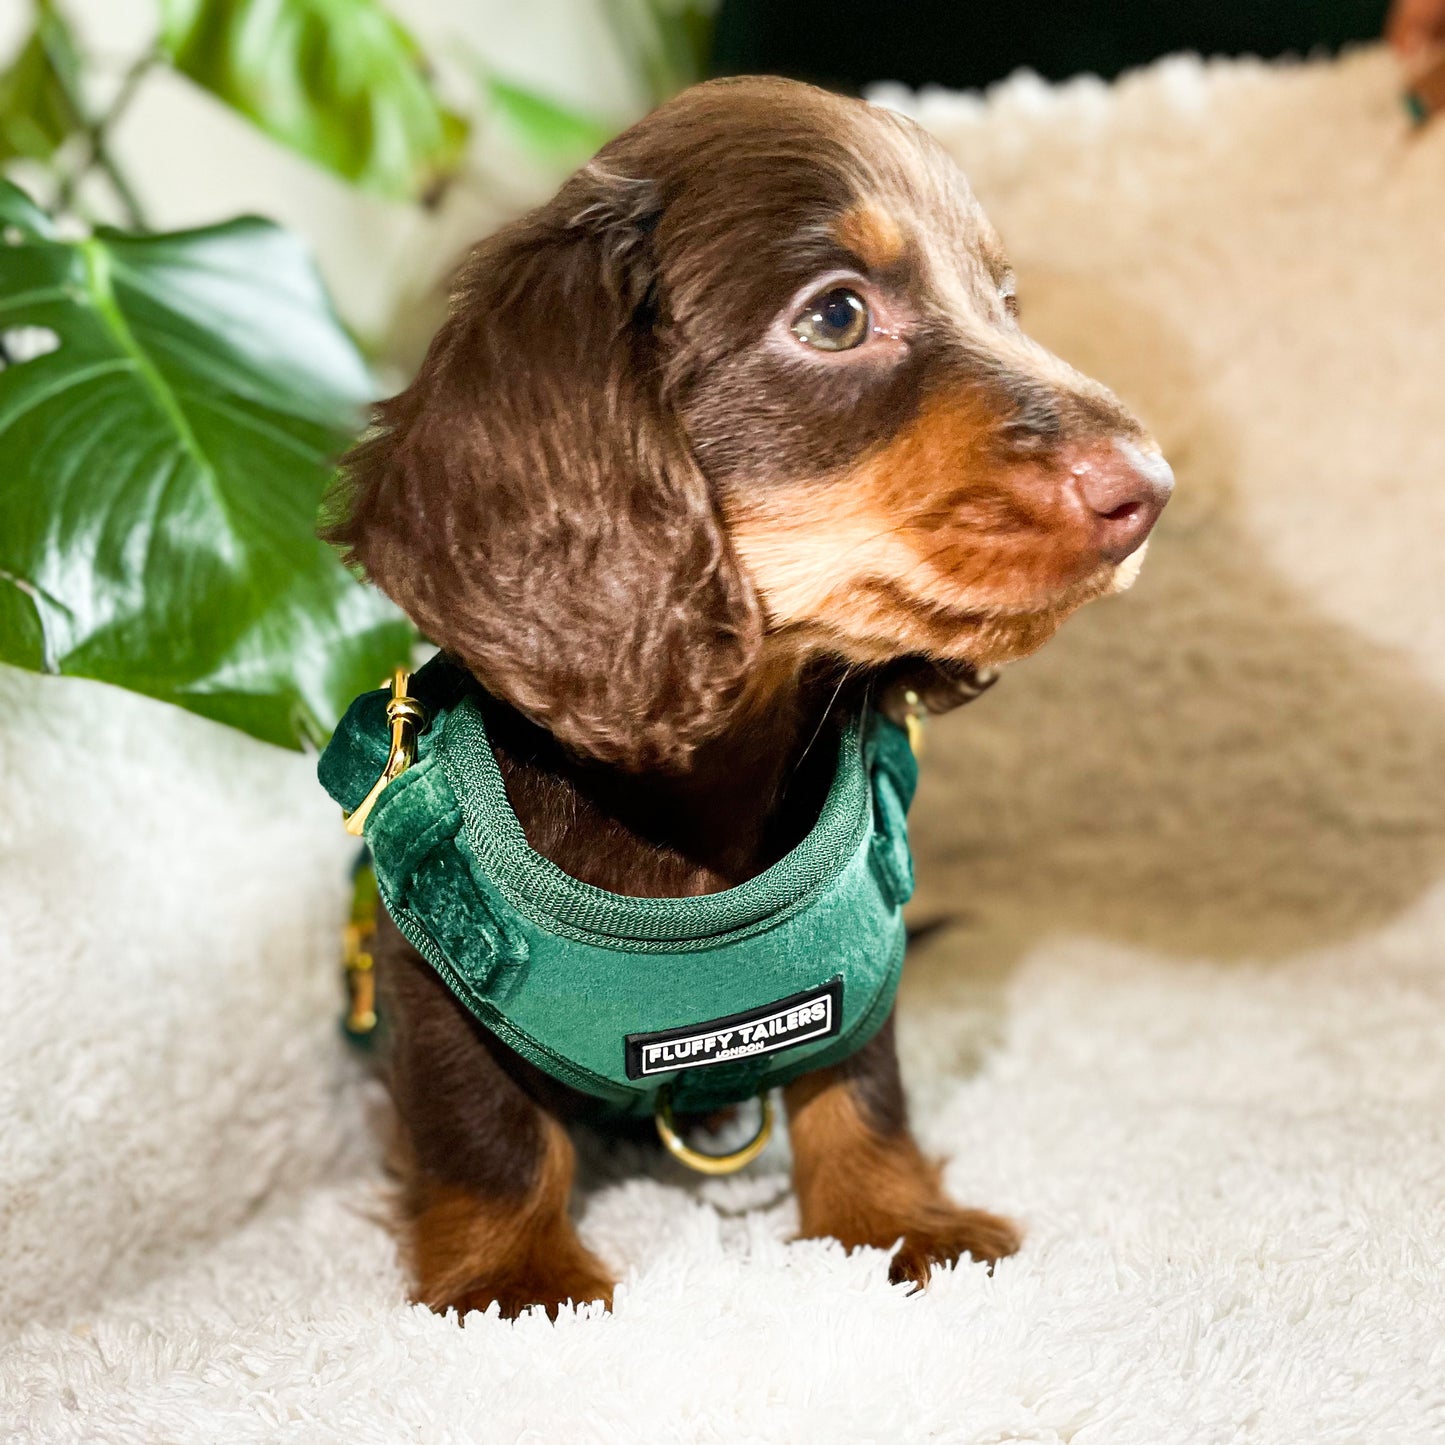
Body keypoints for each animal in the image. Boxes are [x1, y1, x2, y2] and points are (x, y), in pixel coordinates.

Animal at [322, 79, 1167, 1323]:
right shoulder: (432, 970)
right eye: (835, 316)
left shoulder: (855, 944)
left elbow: (857, 1086)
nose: (1149, 489)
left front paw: (893, 1217)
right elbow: (488, 1131)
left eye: (1002, 303)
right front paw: (512, 1274)